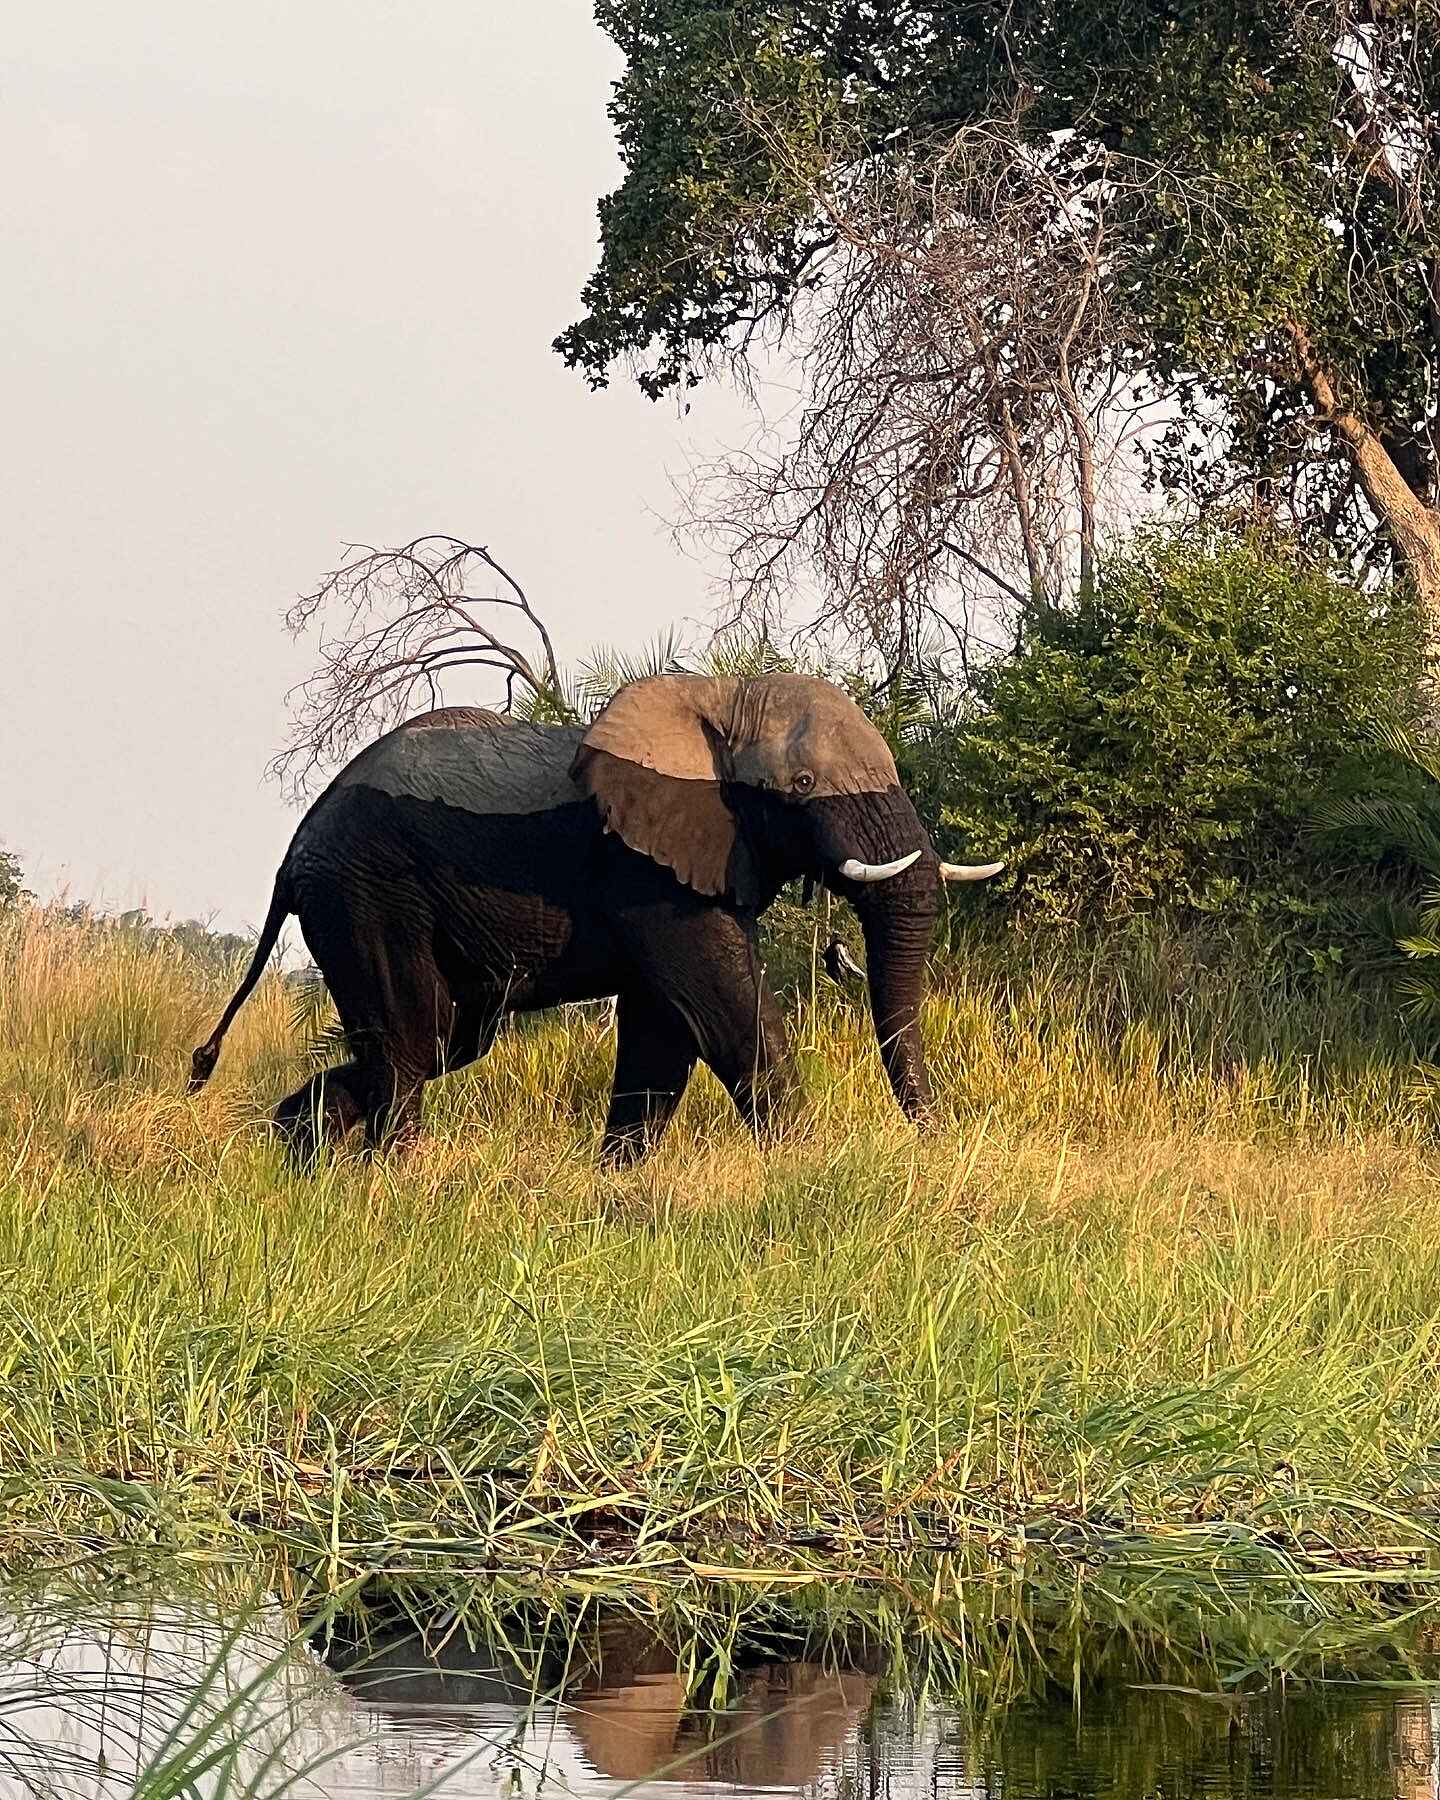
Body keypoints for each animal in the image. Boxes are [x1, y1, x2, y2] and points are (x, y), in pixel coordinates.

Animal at [189, 673, 1002, 1164]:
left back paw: (298, 1155)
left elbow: (663, 1035)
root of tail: (292, 858)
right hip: (367, 890)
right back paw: (397, 1177)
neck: (718, 702)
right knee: (411, 1037)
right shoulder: (643, 867)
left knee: (444, 1040)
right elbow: (725, 1014)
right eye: (800, 786)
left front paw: (621, 1183)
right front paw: (804, 1165)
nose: (940, 1142)